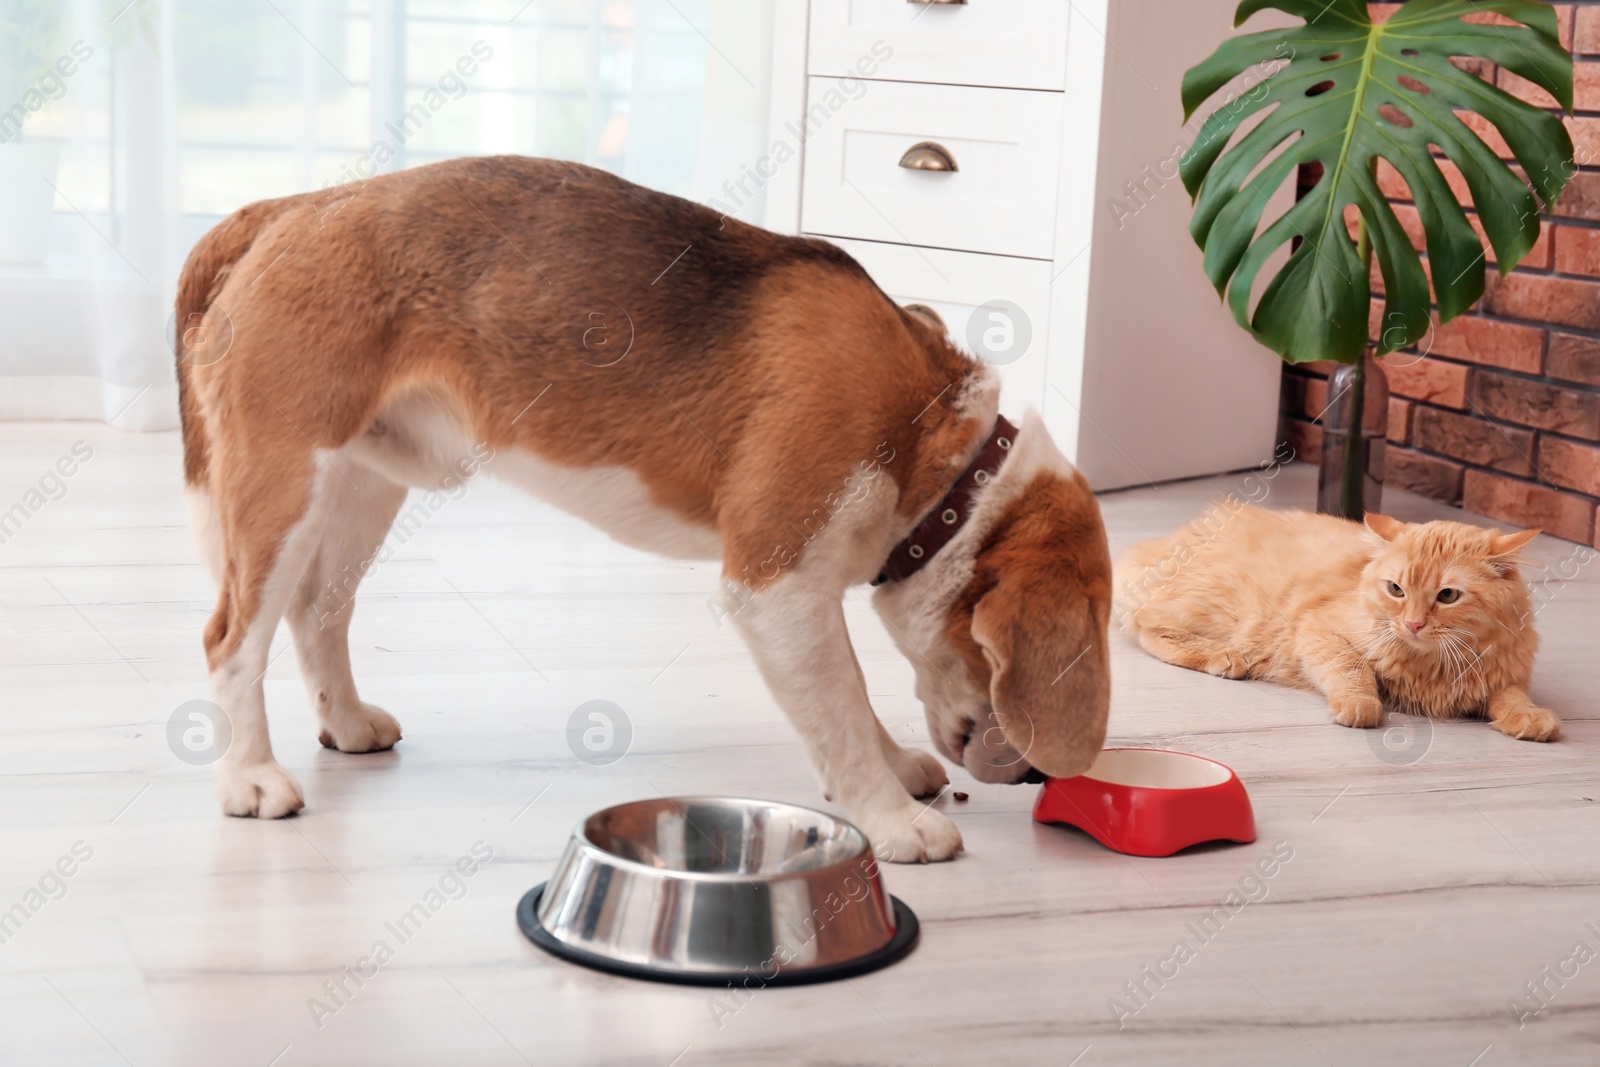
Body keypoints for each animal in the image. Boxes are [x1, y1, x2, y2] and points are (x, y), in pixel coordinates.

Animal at [175, 156, 1113, 857]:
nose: (1038, 775)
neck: (935, 448)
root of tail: (292, 207)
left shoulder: (809, 592)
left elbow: (850, 696)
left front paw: (891, 769)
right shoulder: (776, 585)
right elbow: (842, 704)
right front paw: (890, 816)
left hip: (366, 483)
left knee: (315, 611)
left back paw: (344, 721)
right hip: (282, 484)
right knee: (228, 639)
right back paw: (248, 776)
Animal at [1120, 508, 1555, 742]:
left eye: (1447, 596)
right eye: (1396, 590)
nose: (1413, 624)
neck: (1432, 666)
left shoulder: (1504, 674)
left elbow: (1512, 697)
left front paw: (1531, 718)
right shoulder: (1320, 633)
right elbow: (1353, 670)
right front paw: (1361, 705)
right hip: (1220, 608)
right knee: (1146, 625)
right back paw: (1224, 657)